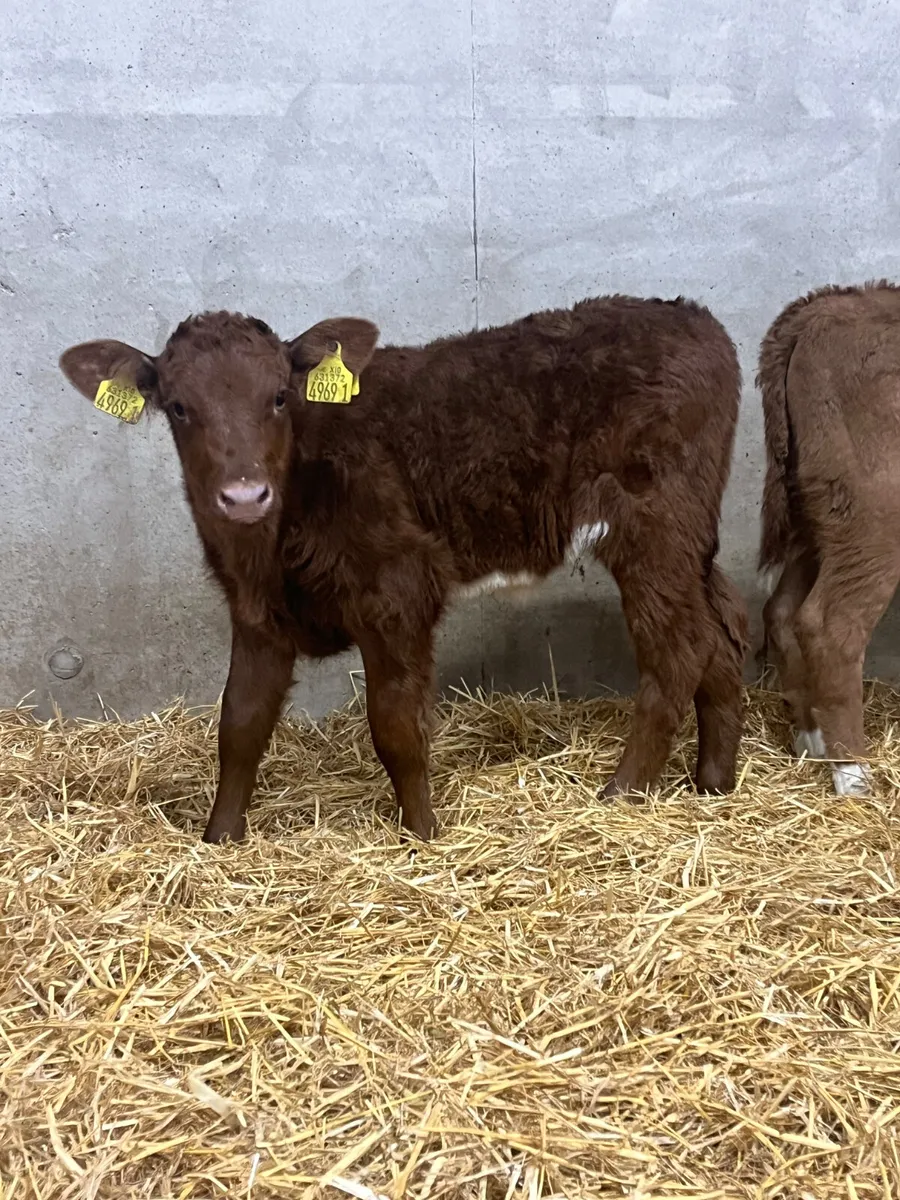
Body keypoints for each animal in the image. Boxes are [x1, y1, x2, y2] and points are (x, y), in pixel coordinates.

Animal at [59, 295, 748, 844]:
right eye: (178, 407)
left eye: (279, 397)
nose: (244, 496)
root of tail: (695, 317)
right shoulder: (256, 613)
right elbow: (240, 725)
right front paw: (218, 839)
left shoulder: (398, 589)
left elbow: (394, 726)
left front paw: (421, 835)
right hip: (688, 538)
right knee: (719, 635)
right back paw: (713, 782)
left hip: (654, 524)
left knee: (679, 649)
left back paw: (620, 794)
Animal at [758, 279, 900, 795]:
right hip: (874, 513)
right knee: (830, 624)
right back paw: (853, 775)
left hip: (818, 511)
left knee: (782, 611)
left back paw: (812, 738)